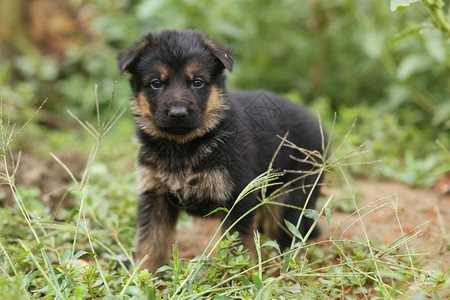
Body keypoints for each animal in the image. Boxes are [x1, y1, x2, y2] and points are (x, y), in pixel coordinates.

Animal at [118, 29, 326, 272]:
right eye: (156, 83)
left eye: (198, 82)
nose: (178, 114)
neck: (183, 146)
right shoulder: (155, 195)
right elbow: (150, 242)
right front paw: (143, 274)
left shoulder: (236, 195)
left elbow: (238, 245)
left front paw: (237, 274)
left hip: (293, 196)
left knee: (290, 234)